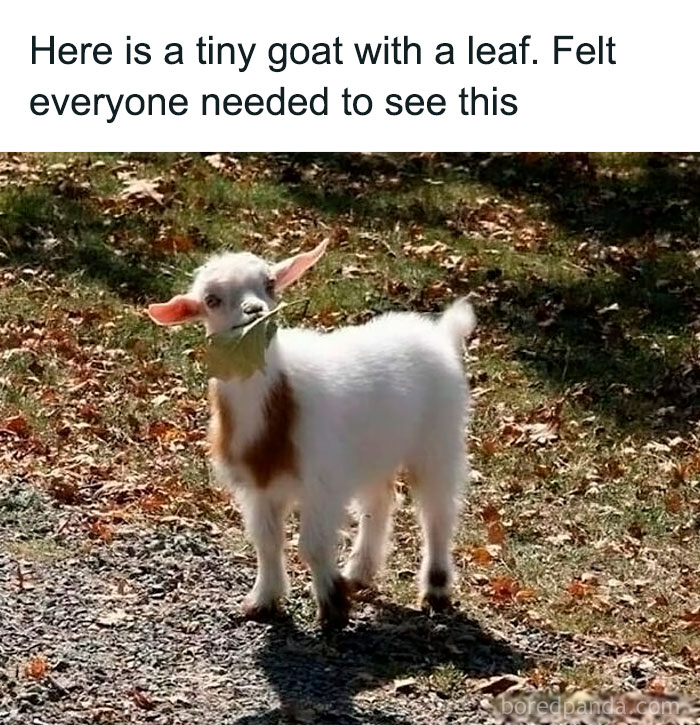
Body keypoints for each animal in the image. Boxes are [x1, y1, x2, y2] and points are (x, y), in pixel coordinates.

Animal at [147, 240, 475, 628]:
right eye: (211, 299)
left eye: (270, 283)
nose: (254, 310)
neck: (277, 412)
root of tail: (439, 334)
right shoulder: (258, 488)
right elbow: (267, 541)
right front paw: (264, 600)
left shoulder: (322, 482)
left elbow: (312, 545)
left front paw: (333, 607)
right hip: (374, 451)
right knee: (380, 500)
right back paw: (359, 572)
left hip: (439, 436)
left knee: (437, 511)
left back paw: (435, 589)